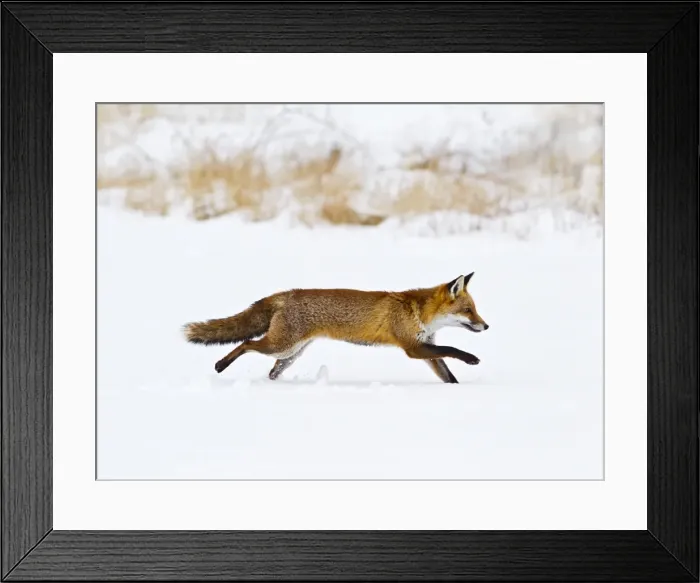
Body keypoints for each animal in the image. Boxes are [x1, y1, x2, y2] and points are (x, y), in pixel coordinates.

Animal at [182, 273, 489, 384]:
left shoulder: (426, 347)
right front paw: (472, 358)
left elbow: (448, 373)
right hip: (279, 345)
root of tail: (288, 293)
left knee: (272, 370)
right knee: (245, 344)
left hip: (290, 354)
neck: (419, 313)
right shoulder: (413, 347)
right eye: (468, 311)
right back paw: (220, 365)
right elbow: (452, 348)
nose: (486, 326)